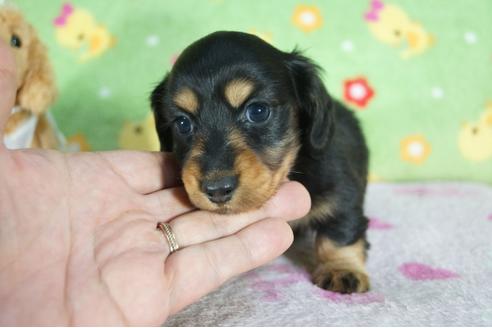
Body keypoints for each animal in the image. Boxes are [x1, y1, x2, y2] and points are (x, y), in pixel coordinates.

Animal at [150, 30, 368, 294]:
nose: (217, 190)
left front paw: (342, 269)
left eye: (258, 111)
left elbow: (339, 232)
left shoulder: (342, 192)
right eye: (182, 123)